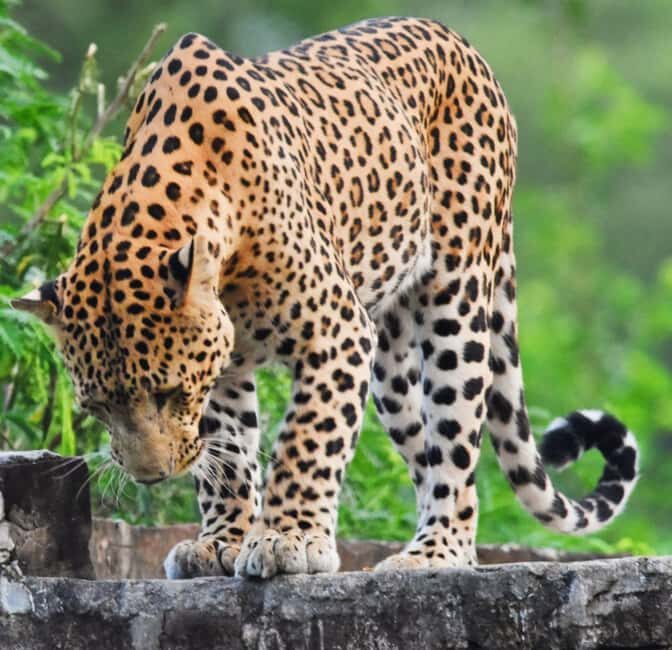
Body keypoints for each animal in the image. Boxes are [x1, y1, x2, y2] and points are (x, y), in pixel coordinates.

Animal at [14, 17, 638, 578]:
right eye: (97, 407)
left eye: (168, 394)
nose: (151, 476)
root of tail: (458, 40)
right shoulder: (226, 361)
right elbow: (230, 452)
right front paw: (222, 542)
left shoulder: (335, 331)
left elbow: (307, 439)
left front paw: (286, 540)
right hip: (391, 369)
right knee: (424, 450)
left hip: (455, 302)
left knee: (457, 447)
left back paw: (435, 553)